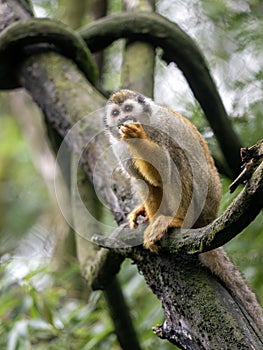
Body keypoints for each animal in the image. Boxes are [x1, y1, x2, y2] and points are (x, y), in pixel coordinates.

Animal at [104, 89, 263, 332]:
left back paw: (176, 220)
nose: (123, 118)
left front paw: (137, 137)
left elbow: (164, 165)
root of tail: (209, 219)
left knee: (177, 156)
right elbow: (146, 180)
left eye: (128, 109)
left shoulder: (161, 125)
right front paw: (149, 215)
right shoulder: (119, 147)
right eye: (115, 113)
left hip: (205, 199)